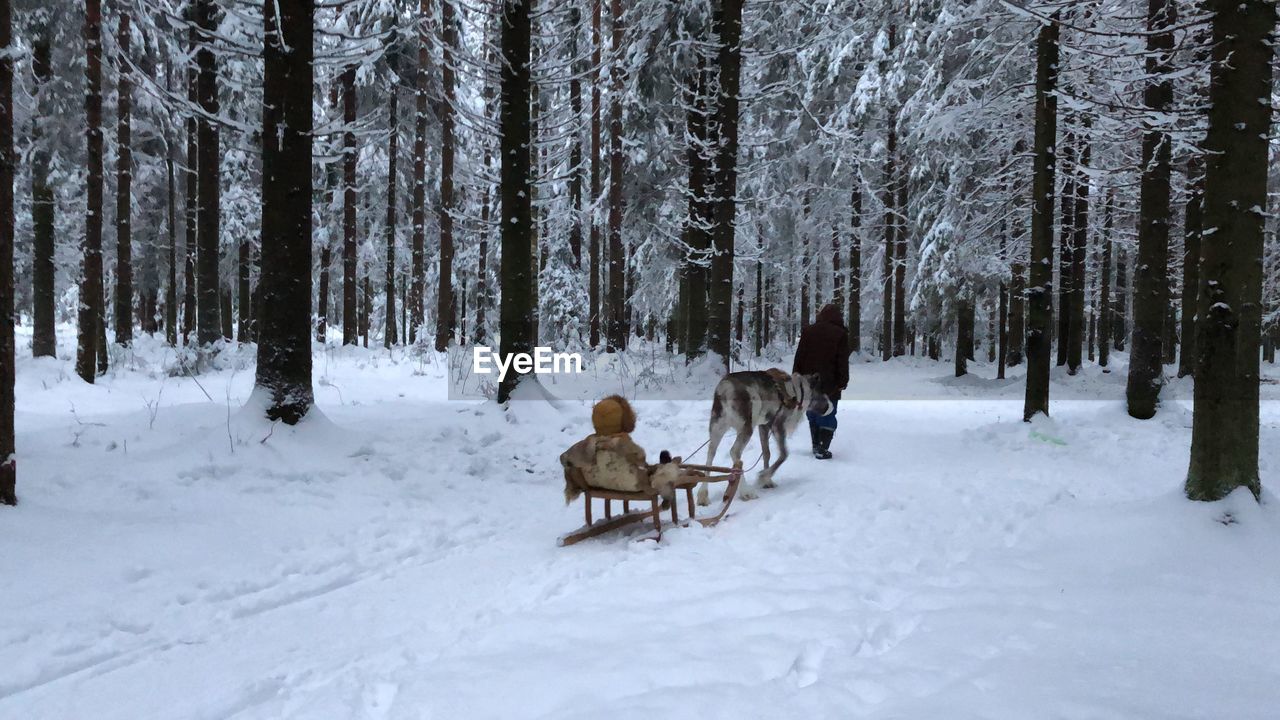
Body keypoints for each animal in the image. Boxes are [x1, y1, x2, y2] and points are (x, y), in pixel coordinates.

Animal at [696, 366, 834, 502]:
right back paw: (746, 491)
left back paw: (703, 494)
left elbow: (767, 453)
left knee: (710, 454)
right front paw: (763, 476)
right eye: (821, 391)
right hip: (747, 428)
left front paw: (768, 482)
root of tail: (724, 389)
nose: (831, 407)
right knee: (734, 452)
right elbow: (784, 454)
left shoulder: (764, 426)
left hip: (717, 427)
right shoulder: (778, 425)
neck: (799, 391)